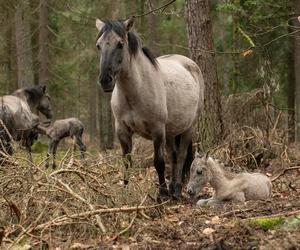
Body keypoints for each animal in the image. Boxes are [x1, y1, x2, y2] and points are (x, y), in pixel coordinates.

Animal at [95, 17, 205, 198]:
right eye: (99, 45)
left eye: (120, 44)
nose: (105, 80)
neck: (136, 92)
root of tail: (190, 64)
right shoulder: (122, 131)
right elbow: (127, 162)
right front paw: (126, 192)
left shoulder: (157, 130)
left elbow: (158, 162)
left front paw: (162, 193)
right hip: (171, 131)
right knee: (173, 155)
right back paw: (173, 186)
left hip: (188, 127)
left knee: (181, 156)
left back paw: (176, 190)